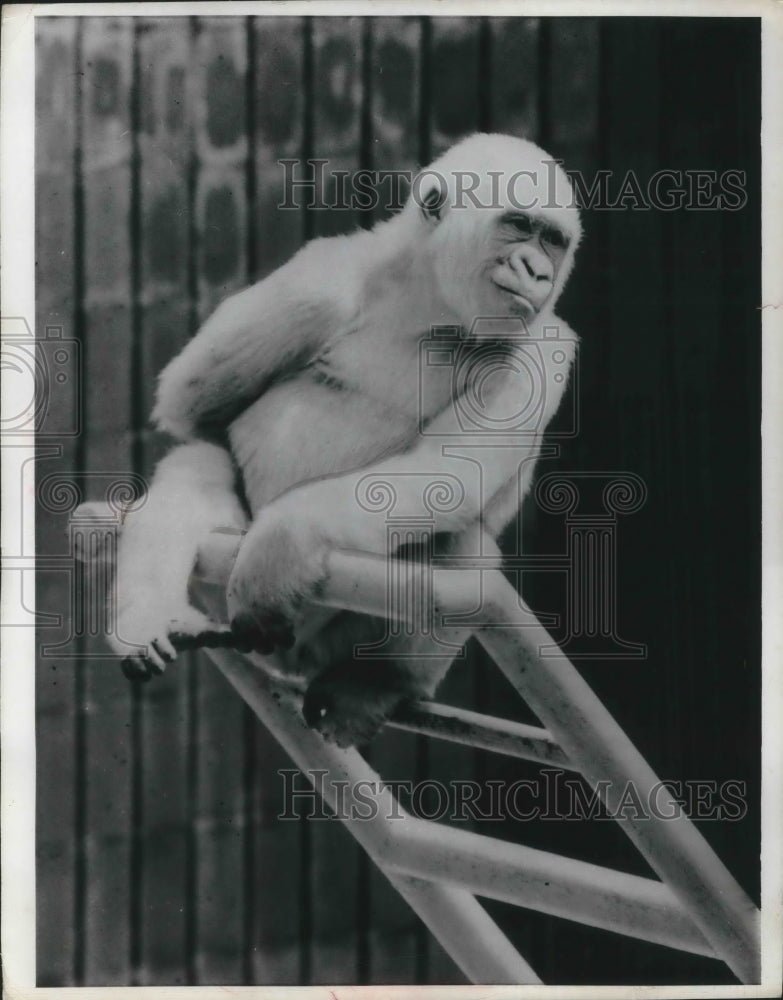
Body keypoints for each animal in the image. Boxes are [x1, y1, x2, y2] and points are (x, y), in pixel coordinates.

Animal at [108, 133, 582, 747]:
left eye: (553, 240)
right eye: (519, 225)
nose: (537, 270)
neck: (431, 306)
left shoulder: (543, 350)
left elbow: (445, 476)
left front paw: (280, 547)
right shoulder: (316, 282)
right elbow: (190, 409)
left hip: (325, 640)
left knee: (459, 549)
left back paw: (374, 685)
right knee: (198, 466)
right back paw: (149, 616)